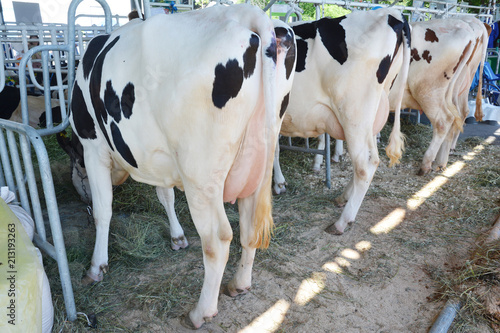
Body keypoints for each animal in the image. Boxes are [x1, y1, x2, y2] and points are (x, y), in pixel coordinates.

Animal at [62, 4, 296, 326]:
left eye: (76, 167)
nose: (79, 194)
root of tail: (247, 13)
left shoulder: (93, 146)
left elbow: (103, 210)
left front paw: (97, 267)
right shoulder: (157, 154)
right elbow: (166, 195)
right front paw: (177, 237)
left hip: (201, 176)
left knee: (218, 239)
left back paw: (201, 312)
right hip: (257, 160)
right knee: (249, 229)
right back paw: (239, 284)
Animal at [274, 9, 410, 235]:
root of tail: (391, 14)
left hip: (354, 114)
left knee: (365, 165)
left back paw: (342, 221)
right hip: (370, 116)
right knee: (368, 160)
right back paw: (343, 197)